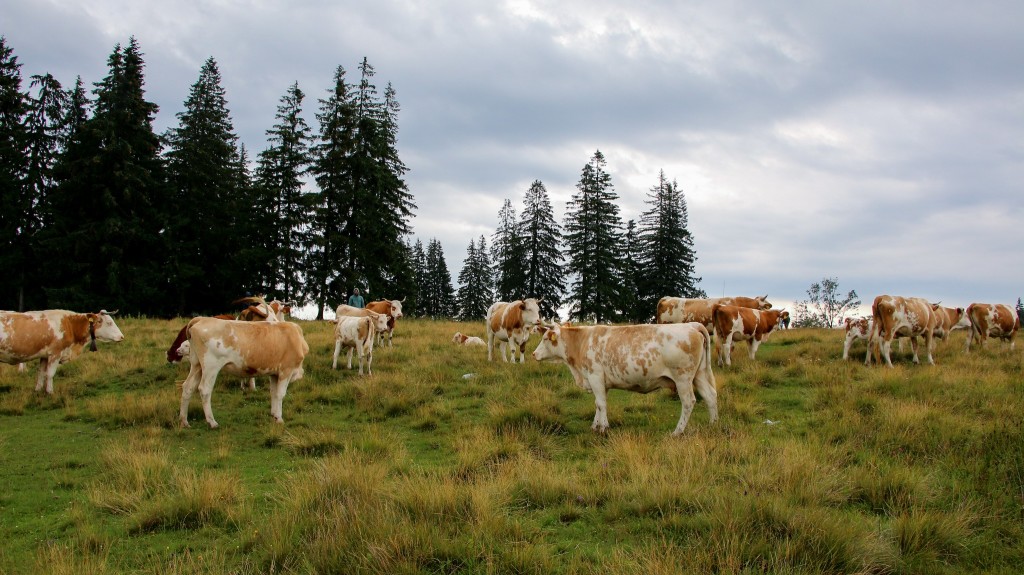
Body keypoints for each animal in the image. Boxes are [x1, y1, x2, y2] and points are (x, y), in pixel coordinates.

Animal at [179, 315, 307, 427]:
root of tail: (202, 319)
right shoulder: (286, 370)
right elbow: (280, 394)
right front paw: (279, 419)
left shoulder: (274, 373)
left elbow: (273, 393)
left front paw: (274, 415)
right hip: (211, 366)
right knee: (205, 390)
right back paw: (212, 422)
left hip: (196, 365)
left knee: (188, 387)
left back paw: (184, 421)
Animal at [532, 319, 716, 431]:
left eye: (546, 338)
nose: (534, 354)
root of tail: (692, 325)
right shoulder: (600, 382)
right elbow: (598, 404)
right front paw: (595, 426)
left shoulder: (595, 376)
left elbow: (601, 404)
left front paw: (603, 428)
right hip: (699, 375)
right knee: (710, 396)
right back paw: (713, 424)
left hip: (683, 379)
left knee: (688, 402)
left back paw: (677, 432)